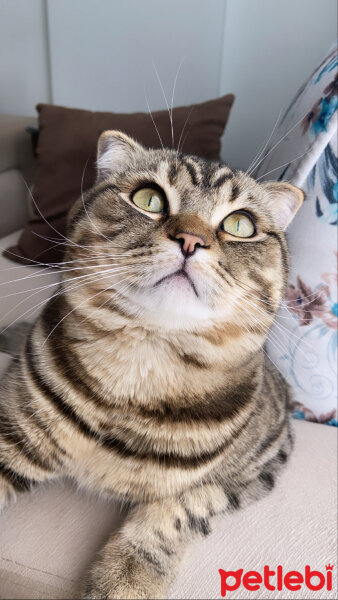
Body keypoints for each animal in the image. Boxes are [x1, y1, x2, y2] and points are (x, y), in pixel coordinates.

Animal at [0, 132, 304, 600]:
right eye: (149, 198)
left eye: (241, 224)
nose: (190, 239)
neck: (143, 366)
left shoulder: (263, 465)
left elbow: (181, 509)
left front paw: (125, 579)